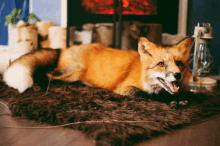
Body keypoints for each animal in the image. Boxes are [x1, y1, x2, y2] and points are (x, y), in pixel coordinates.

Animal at [3, 36, 191, 104]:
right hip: (73, 72)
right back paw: (38, 86)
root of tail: (65, 48)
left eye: (179, 63)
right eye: (161, 64)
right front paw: (171, 100)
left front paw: (181, 97)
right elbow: (150, 95)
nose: (177, 75)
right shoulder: (124, 89)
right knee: (46, 74)